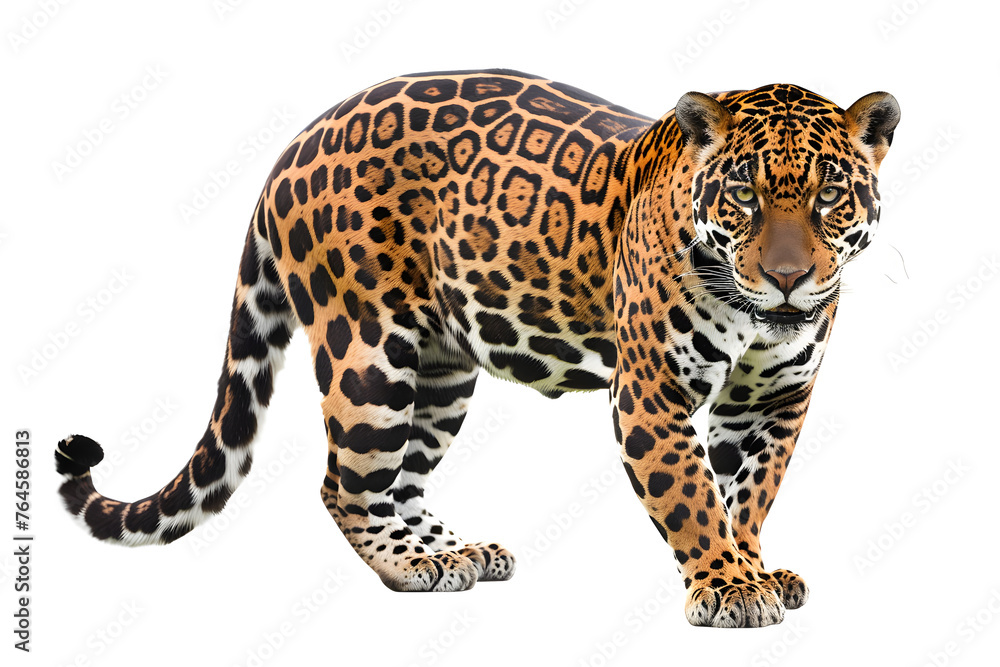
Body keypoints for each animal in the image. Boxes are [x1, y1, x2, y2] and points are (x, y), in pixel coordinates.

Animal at [55, 69, 899, 628]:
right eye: (743, 195)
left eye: (828, 195)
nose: (788, 278)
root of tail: (293, 146)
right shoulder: (651, 393)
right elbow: (691, 493)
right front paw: (727, 585)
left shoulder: (774, 400)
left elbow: (746, 494)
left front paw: (752, 566)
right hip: (368, 353)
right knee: (344, 483)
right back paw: (409, 565)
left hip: (441, 367)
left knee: (402, 478)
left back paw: (455, 551)